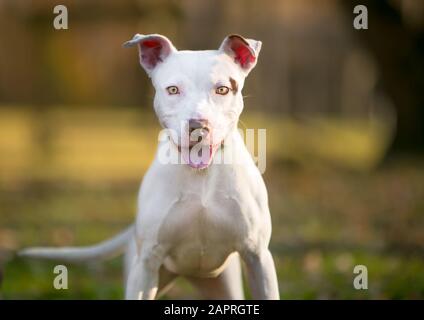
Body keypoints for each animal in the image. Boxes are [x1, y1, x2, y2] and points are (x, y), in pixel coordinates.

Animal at [19, 34, 280, 300]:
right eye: (173, 89)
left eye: (222, 89)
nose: (198, 126)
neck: (201, 177)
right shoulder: (146, 263)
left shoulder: (258, 257)